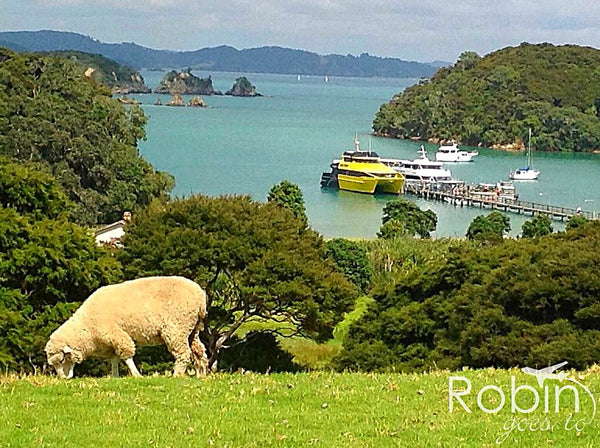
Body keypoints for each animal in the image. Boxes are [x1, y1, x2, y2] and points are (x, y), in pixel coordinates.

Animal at [44, 276, 209, 378]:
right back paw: (200, 374)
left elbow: (127, 354)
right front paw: (115, 376)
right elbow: (114, 359)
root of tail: (200, 296)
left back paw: (177, 375)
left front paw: (136, 375)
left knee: (183, 353)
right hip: (192, 329)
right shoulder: (110, 342)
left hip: (176, 328)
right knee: (198, 351)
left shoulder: (116, 334)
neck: (86, 326)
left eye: (61, 360)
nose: (63, 378)